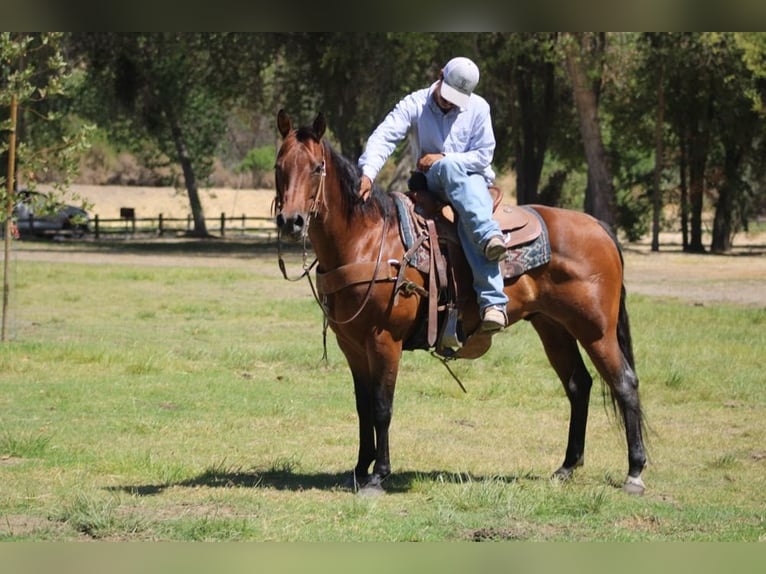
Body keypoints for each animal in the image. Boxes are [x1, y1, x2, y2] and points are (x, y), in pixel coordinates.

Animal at [274, 109, 647, 496]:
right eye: (278, 166)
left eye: (317, 167)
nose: (291, 221)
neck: (367, 239)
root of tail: (599, 227)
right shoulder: (351, 343)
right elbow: (363, 406)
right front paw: (360, 469)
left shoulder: (384, 339)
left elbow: (381, 406)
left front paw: (379, 475)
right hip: (553, 327)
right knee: (578, 385)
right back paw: (568, 466)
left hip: (596, 330)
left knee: (625, 383)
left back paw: (634, 472)